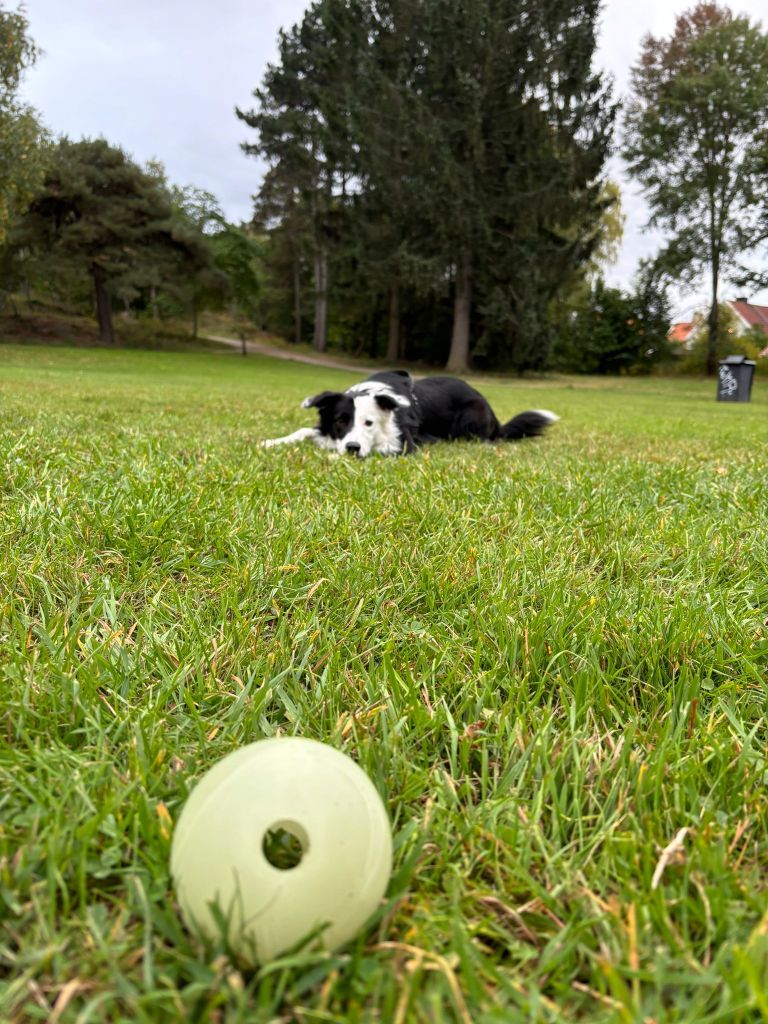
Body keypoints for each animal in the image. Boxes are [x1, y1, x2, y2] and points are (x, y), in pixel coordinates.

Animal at [264, 370, 561, 458]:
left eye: (369, 423)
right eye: (340, 420)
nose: (352, 448)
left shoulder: (404, 444)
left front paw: (334, 458)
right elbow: (304, 430)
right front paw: (272, 442)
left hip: (470, 417)